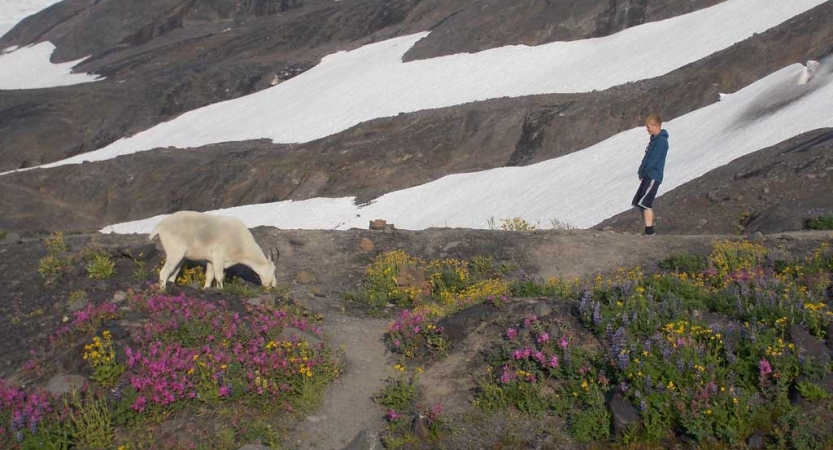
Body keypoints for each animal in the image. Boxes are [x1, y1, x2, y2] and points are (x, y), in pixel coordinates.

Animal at [150, 210, 280, 290]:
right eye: (273, 270)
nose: (273, 285)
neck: (241, 242)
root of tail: (160, 226)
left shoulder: (211, 260)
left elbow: (209, 276)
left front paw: (206, 288)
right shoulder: (218, 257)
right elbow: (219, 276)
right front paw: (220, 290)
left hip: (181, 257)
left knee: (173, 274)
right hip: (175, 252)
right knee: (164, 272)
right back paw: (162, 290)